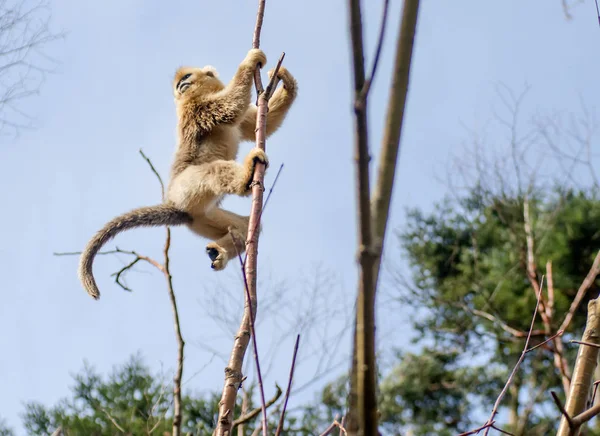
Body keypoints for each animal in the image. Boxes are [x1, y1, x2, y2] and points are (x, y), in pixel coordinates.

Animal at [77, 47, 298, 300]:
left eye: (186, 78)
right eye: (179, 83)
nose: (181, 86)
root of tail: (176, 205)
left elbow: (259, 125)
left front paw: (286, 81)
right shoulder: (195, 108)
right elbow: (231, 107)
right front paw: (250, 61)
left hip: (201, 217)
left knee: (246, 226)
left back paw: (219, 250)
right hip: (186, 187)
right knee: (213, 171)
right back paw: (246, 176)